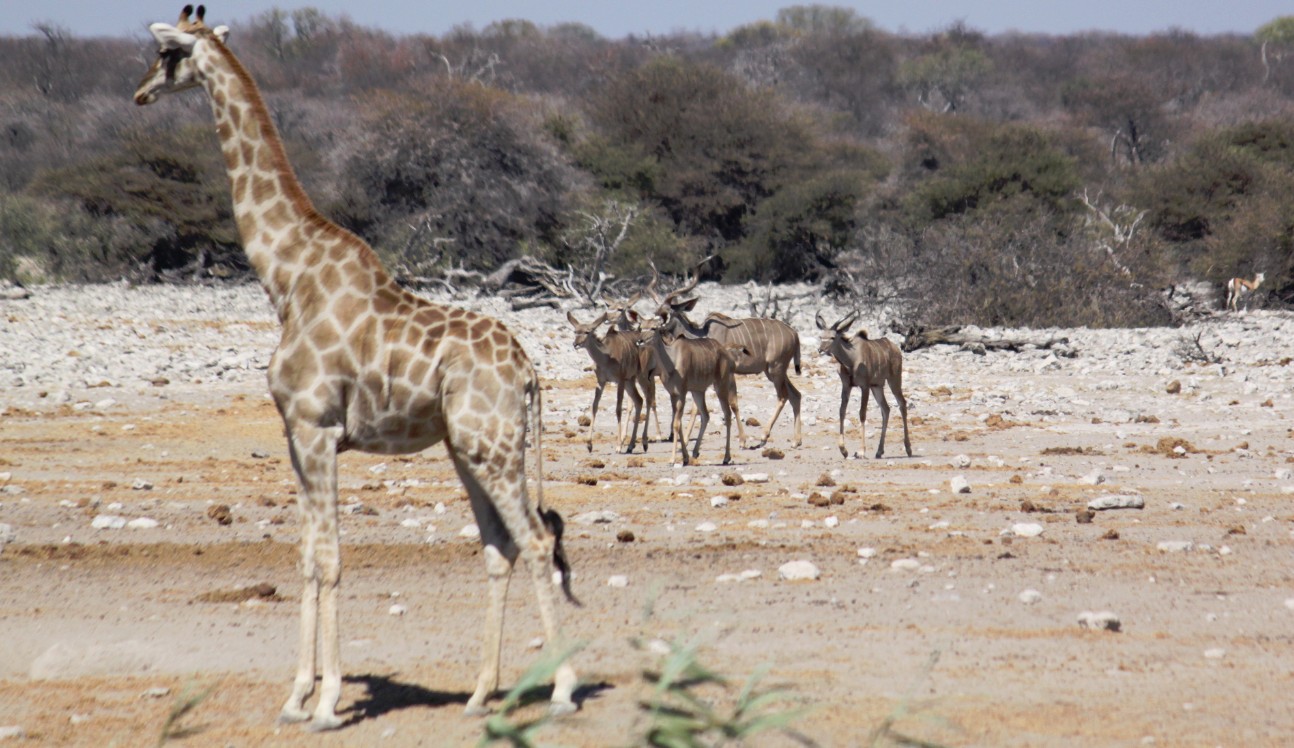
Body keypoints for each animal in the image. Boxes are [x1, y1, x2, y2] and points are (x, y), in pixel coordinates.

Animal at [132, 5, 577, 729]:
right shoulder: (295, 436)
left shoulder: (318, 430)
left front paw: (328, 701)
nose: (141, 92)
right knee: (499, 547)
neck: (284, 277)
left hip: (492, 446)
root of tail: (530, 371)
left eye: (168, 53)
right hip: (469, 449)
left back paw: (562, 688)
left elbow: (333, 559)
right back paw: (482, 693)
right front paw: (295, 697)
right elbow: (307, 558)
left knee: (536, 542)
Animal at [566, 310, 647, 450]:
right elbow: (594, 406)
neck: (607, 357)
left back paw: (643, 443)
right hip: (630, 380)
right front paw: (589, 444)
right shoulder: (601, 381)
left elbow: (618, 409)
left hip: (642, 377)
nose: (575, 344)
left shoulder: (620, 380)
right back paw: (631, 445)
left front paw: (618, 445)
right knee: (639, 400)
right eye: (575, 331)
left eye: (587, 332)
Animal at [631, 322, 745, 465]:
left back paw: (726, 457)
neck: (672, 361)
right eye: (641, 327)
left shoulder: (682, 394)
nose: (639, 341)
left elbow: (676, 424)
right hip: (698, 391)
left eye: (654, 328)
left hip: (721, 386)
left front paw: (672, 459)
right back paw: (695, 452)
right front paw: (684, 458)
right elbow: (678, 423)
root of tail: (726, 353)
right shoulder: (674, 395)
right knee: (706, 415)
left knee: (728, 414)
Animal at [652, 267, 802, 445]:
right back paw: (796, 440)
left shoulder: (726, 372)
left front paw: (742, 440)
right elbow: (696, 406)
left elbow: (729, 403)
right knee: (796, 395)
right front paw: (687, 439)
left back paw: (764, 435)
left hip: (775, 369)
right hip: (774, 371)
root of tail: (794, 334)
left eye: (668, 311)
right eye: (657, 308)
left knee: (783, 396)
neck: (702, 333)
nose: (654, 323)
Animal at [817, 310, 910, 460]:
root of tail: (896, 348)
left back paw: (908, 449)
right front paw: (843, 450)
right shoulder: (847, 386)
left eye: (832, 337)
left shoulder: (864, 386)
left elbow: (862, 413)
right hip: (877, 386)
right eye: (821, 336)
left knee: (902, 403)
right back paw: (879, 451)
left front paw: (861, 451)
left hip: (894, 380)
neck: (851, 360)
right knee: (886, 409)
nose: (820, 350)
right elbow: (842, 411)